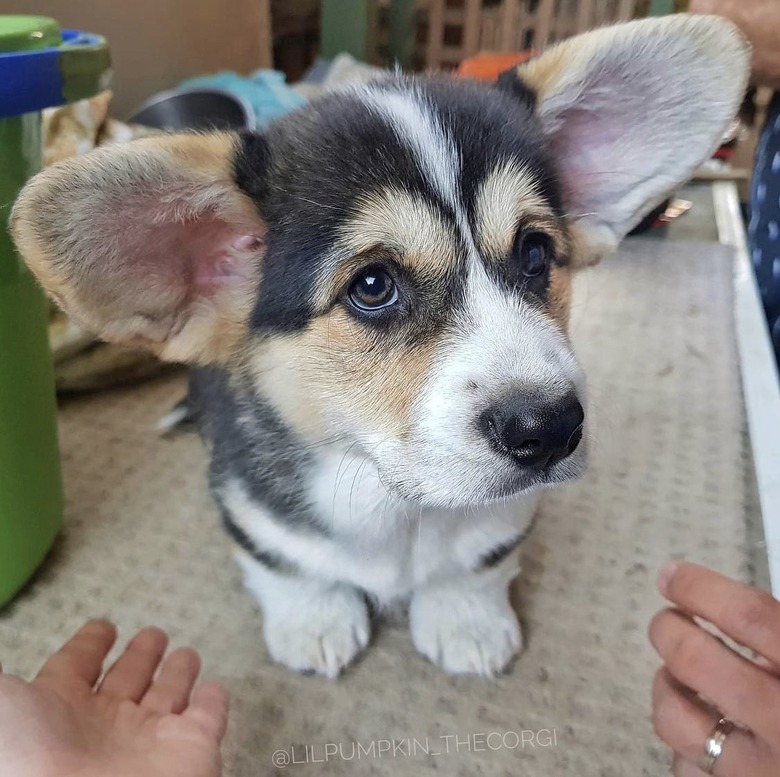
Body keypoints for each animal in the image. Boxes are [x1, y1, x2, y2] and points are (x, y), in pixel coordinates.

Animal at [10, 15, 748, 676]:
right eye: (372, 285)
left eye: (537, 252)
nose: (553, 428)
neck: (397, 501)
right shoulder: (249, 512)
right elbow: (285, 565)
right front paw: (315, 621)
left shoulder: (503, 522)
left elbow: (479, 562)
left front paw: (466, 619)